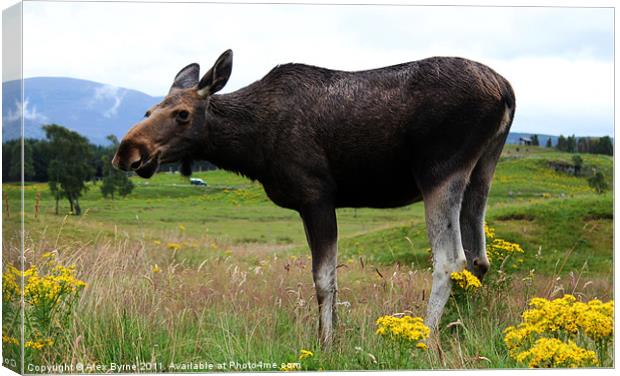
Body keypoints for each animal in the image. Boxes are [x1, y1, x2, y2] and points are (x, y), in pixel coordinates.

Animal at [114, 50, 516, 346]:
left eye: (182, 114)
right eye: (149, 111)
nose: (128, 151)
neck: (250, 147)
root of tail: (506, 91)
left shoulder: (316, 195)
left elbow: (323, 279)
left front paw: (326, 343)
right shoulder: (308, 205)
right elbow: (328, 280)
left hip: (439, 171)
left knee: (451, 259)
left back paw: (427, 337)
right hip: (483, 170)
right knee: (479, 259)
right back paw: (462, 326)